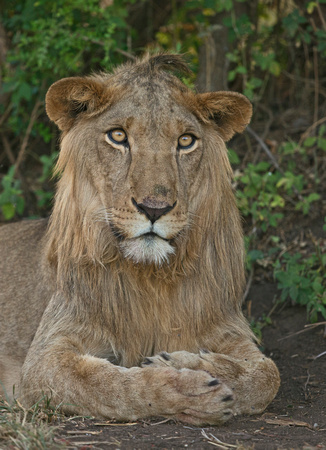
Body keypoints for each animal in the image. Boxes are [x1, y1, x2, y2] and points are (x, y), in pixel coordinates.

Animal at [0, 54, 280, 424]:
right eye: (118, 136)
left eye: (186, 141)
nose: (154, 208)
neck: (151, 277)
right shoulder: (42, 360)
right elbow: (110, 385)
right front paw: (185, 388)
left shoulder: (226, 326)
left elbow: (267, 375)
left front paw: (192, 361)